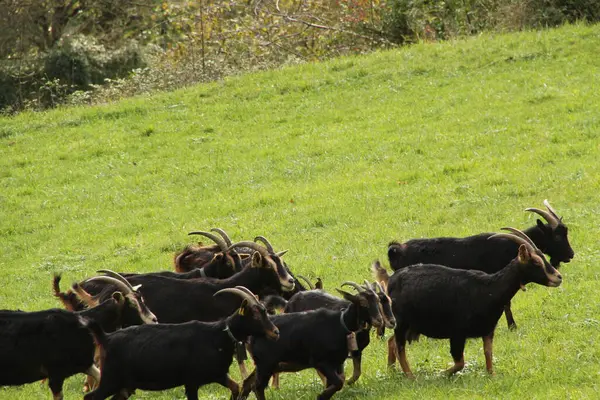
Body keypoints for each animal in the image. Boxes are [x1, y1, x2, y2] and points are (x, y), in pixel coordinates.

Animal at [82, 286, 278, 400]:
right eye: (255, 314)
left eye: (264, 310)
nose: (275, 332)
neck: (218, 335)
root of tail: (106, 337)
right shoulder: (191, 382)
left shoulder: (218, 374)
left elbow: (236, 387)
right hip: (110, 380)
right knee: (90, 398)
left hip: (124, 384)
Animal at [240, 286, 376, 400]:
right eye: (363, 302)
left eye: (377, 300)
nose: (377, 320)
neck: (340, 324)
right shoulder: (322, 362)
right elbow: (338, 382)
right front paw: (321, 396)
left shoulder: (336, 362)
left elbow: (338, 381)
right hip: (266, 365)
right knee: (257, 387)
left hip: (265, 365)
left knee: (248, 383)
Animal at [384, 227, 564, 376]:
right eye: (536, 262)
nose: (558, 277)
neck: (489, 289)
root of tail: (391, 281)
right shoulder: (457, 333)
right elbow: (460, 363)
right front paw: (441, 374)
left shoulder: (488, 331)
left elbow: (488, 355)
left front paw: (492, 375)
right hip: (402, 323)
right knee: (400, 347)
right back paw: (411, 377)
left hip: (410, 325)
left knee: (391, 341)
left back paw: (391, 370)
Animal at [386, 199, 576, 328]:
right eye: (557, 236)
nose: (570, 255)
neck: (511, 247)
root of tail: (397, 249)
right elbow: (506, 303)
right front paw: (512, 326)